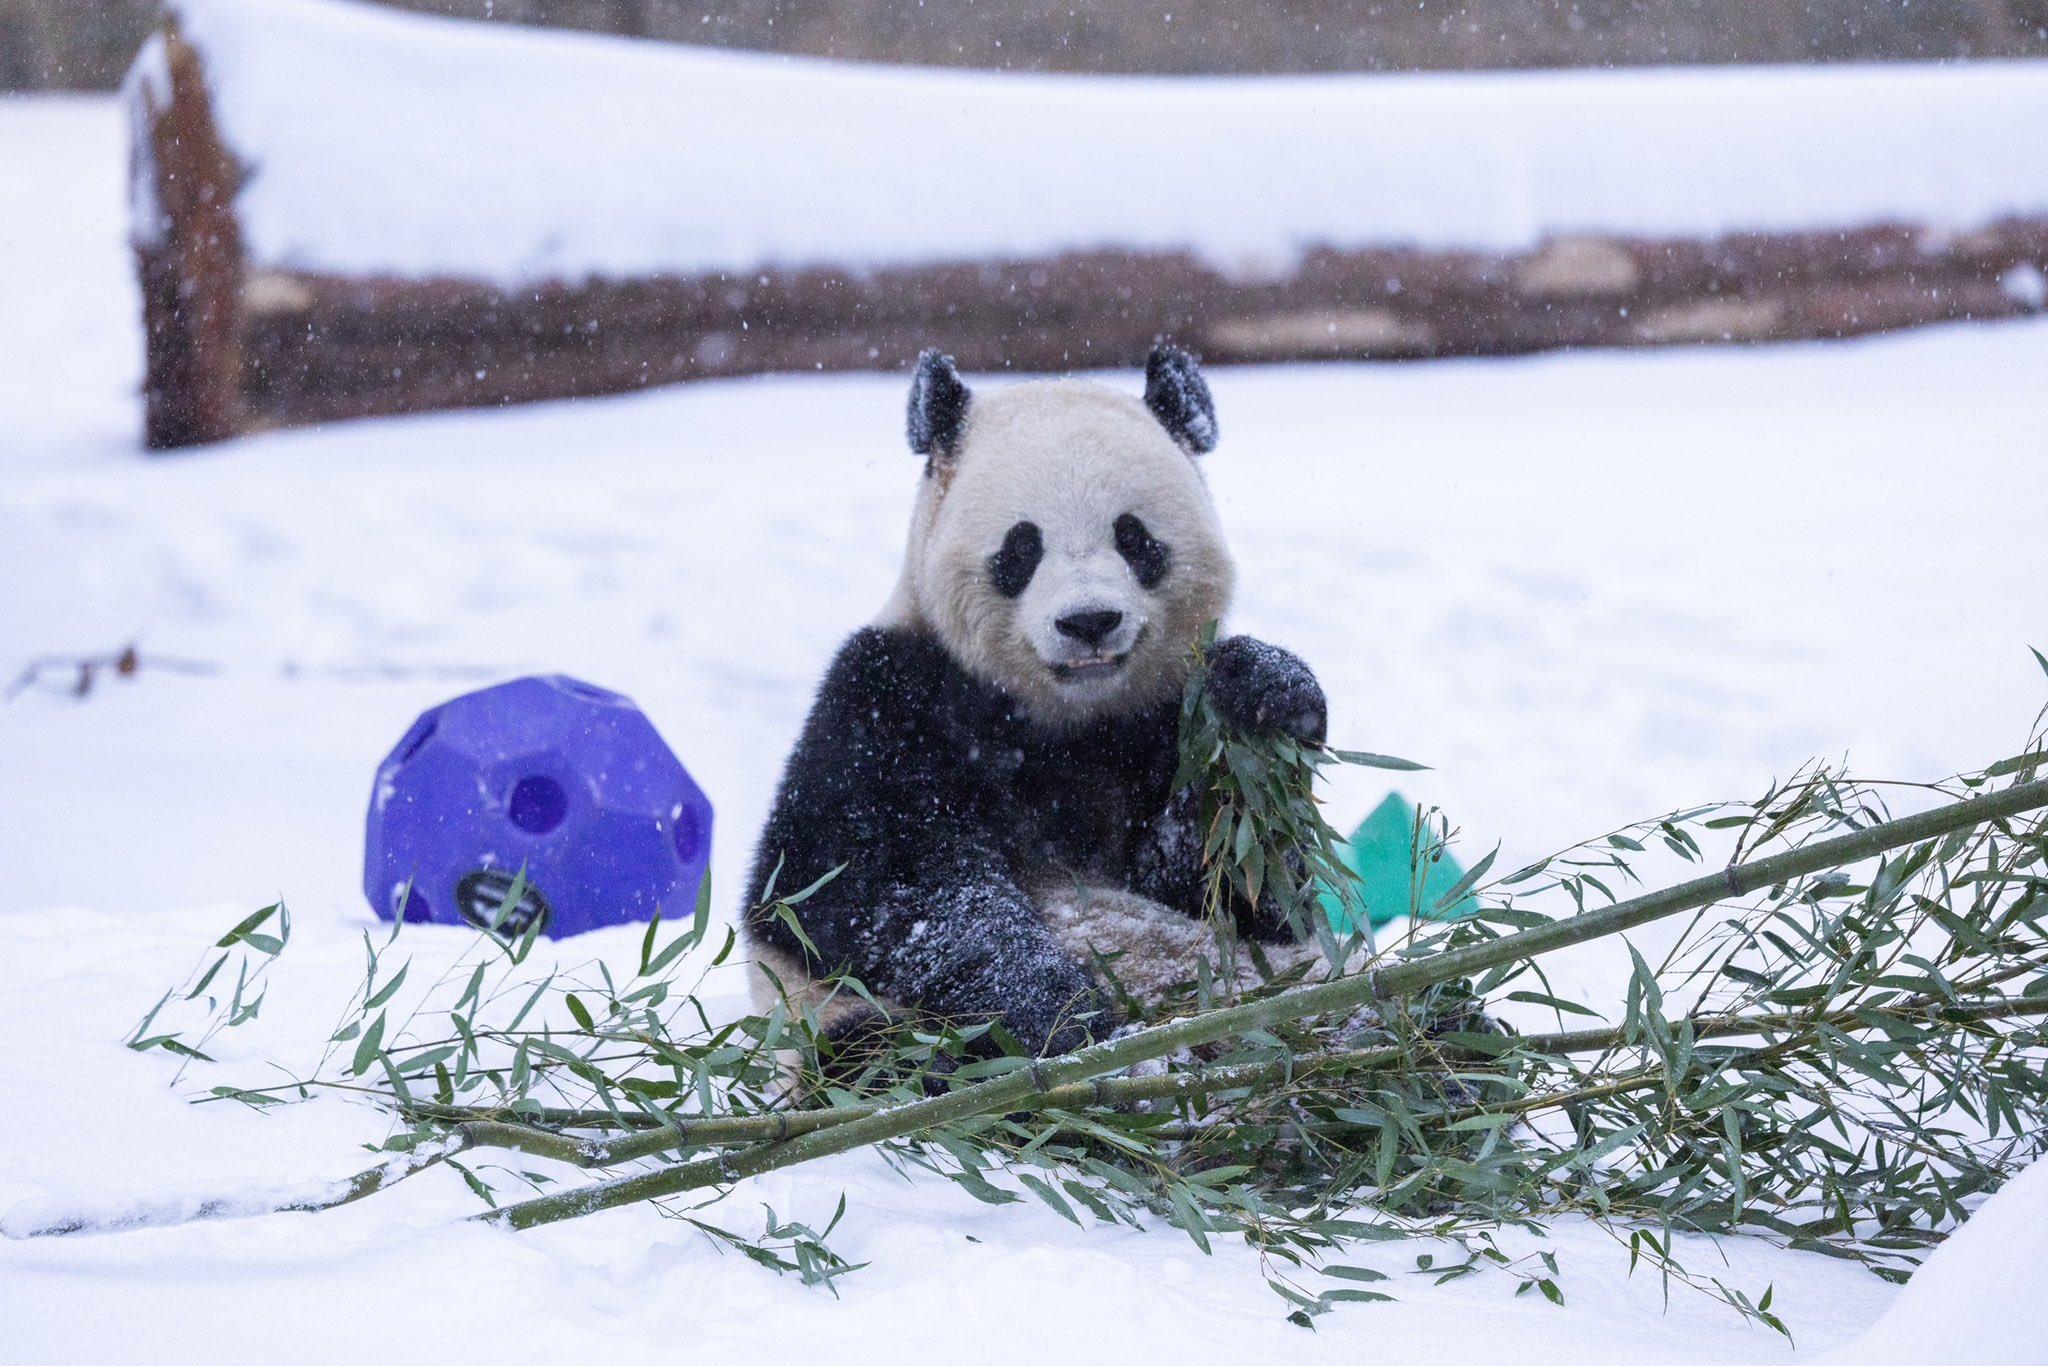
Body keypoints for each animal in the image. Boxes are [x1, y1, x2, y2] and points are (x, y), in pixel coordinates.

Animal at [749, 348, 1327, 1064]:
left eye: (1134, 538)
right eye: (1023, 546)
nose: (1089, 621)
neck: (1067, 718)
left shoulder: (1163, 714)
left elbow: (1239, 885)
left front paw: (1264, 695)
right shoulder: (891, 697)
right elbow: (865, 884)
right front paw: (1063, 1014)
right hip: (829, 1027)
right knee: (876, 1051)